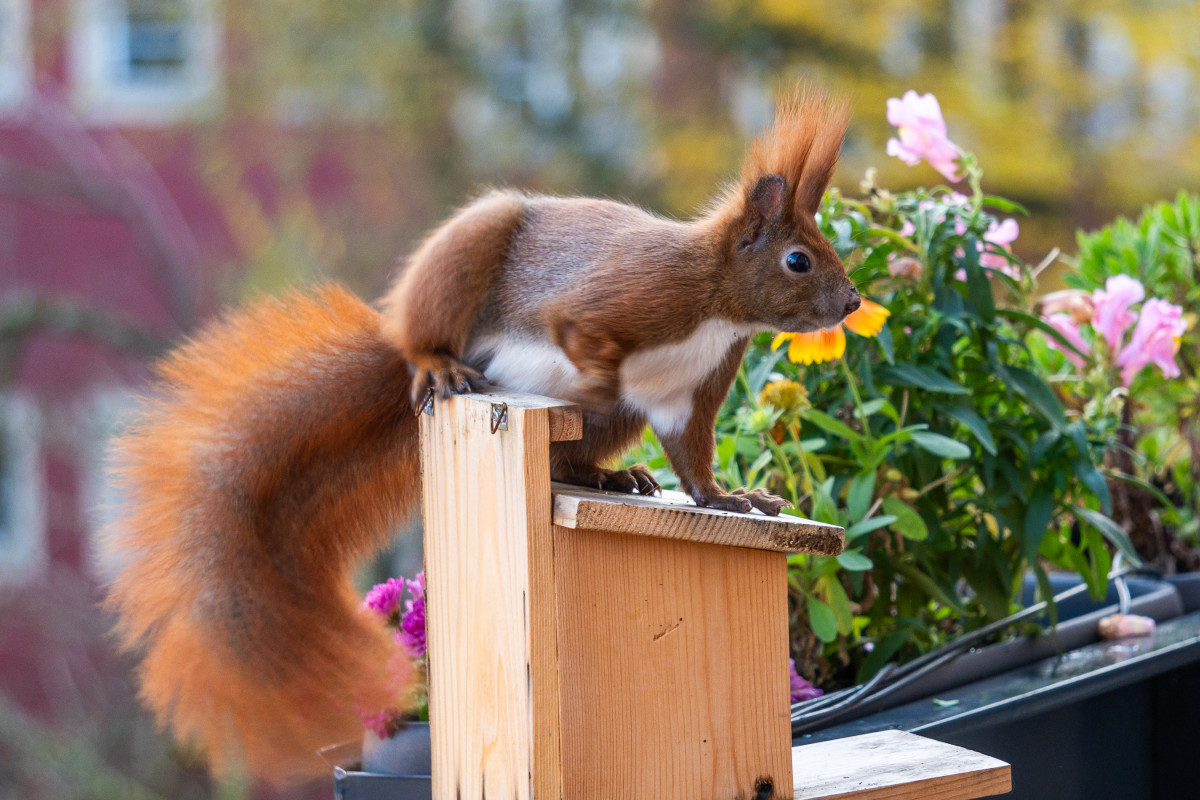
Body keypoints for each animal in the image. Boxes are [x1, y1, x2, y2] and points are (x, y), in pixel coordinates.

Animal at [100, 89, 854, 782]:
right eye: (798, 260)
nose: (850, 302)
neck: (720, 308)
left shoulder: (688, 395)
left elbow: (693, 461)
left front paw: (733, 500)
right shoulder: (631, 294)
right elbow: (581, 334)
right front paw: (597, 376)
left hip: (617, 417)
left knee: (571, 462)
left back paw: (615, 475)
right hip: (467, 255)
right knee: (431, 334)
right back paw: (442, 368)